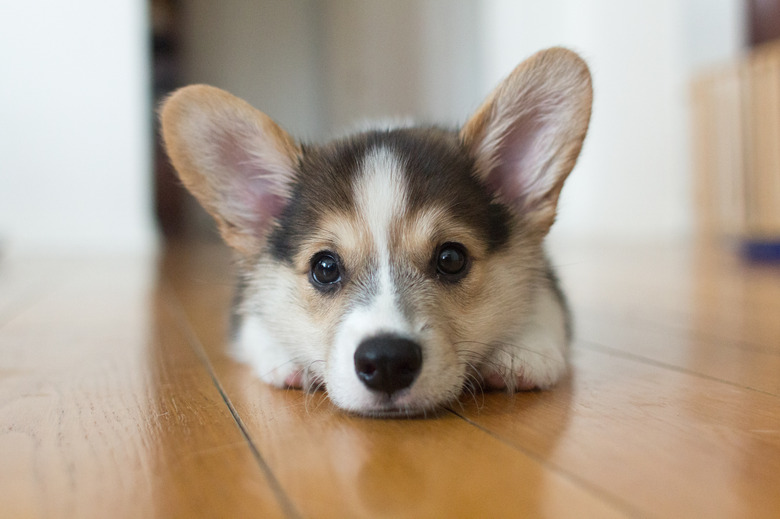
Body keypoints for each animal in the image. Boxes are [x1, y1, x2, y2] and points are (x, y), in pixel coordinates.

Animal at [161, 46, 596, 416]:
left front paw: (522, 350)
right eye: (324, 268)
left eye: (451, 258)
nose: (386, 360)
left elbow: (545, 308)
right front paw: (287, 358)